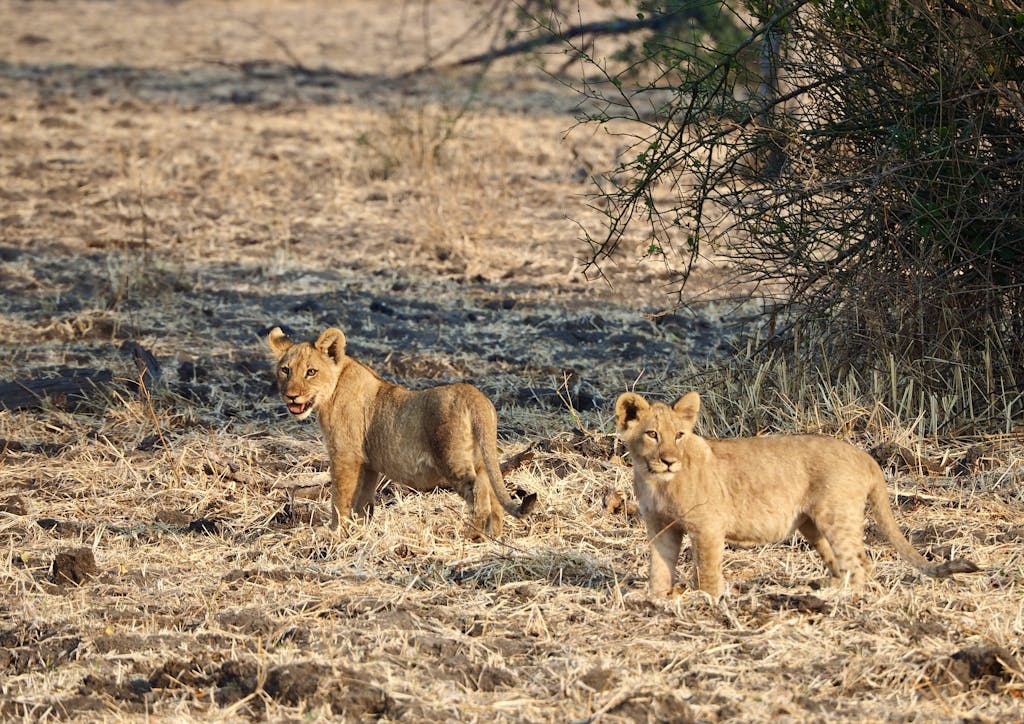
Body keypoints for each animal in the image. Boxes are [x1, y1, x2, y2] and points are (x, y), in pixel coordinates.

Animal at [267, 326, 536, 539]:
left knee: (479, 489)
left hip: (452, 458)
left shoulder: (345, 455)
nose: (291, 396)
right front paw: (359, 531)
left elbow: (340, 497)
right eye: (285, 370)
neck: (332, 390)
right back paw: (494, 536)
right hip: (480, 457)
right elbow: (362, 499)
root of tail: (475, 396)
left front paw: (334, 532)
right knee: (492, 491)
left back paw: (472, 536)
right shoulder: (368, 463)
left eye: (311, 372)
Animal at [615, 390, 979, 597]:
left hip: (836, 515)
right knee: (845, 563)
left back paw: (842, 600)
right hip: (811, 524)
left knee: (860, 562)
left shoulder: (707, 526)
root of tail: (865, 456)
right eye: (652, 434)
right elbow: (660, 566)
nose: (669, 460)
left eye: (679, 435)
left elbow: (707, 569)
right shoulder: (660, 527)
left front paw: (708, 601)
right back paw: (828, 591)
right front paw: (654, 600)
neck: (658, 482)